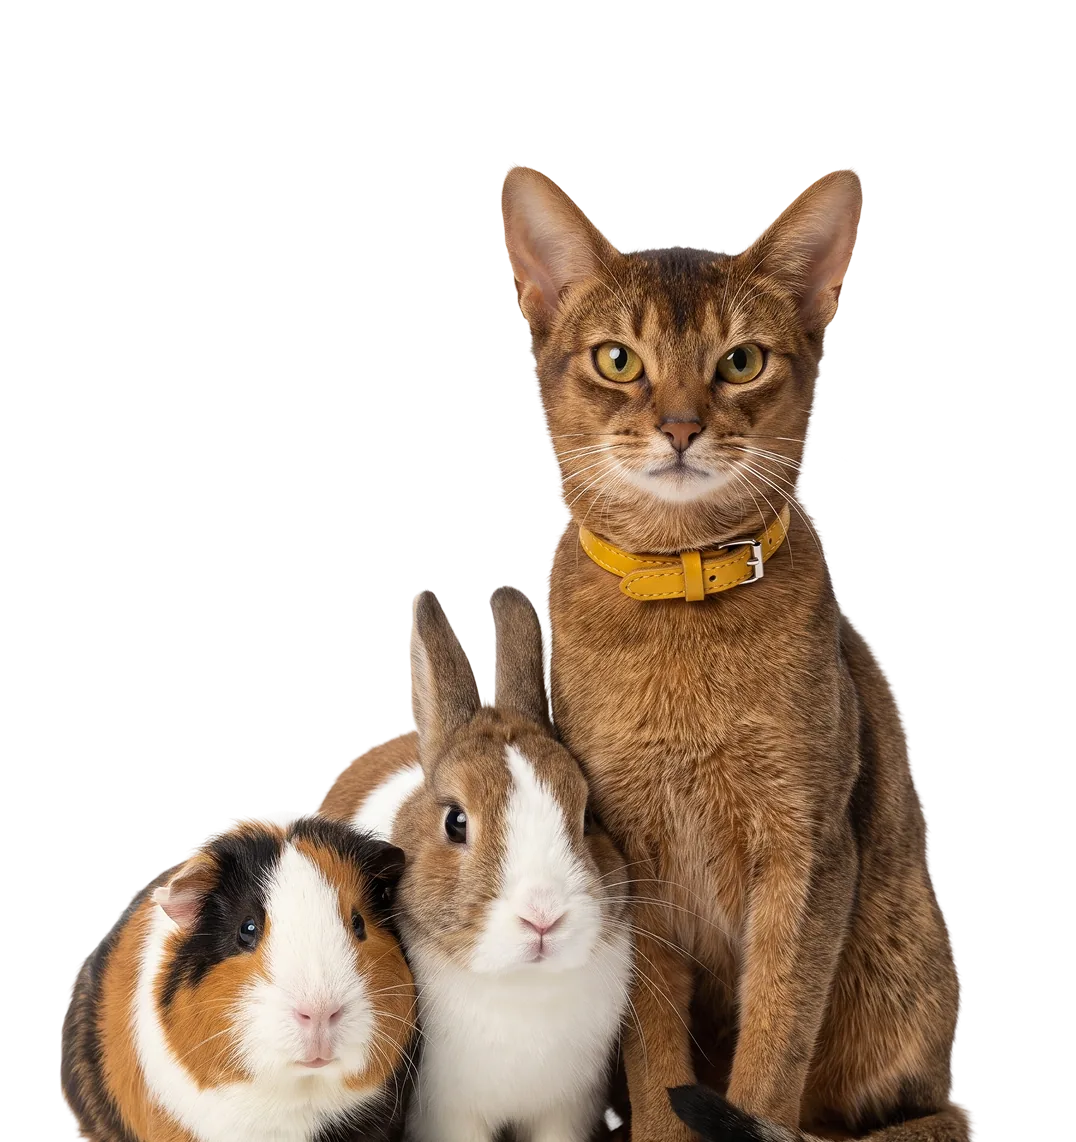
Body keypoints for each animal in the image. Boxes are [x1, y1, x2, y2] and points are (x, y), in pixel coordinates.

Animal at [318, 586, 635, 1142]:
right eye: (456, 822)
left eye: (588, 816)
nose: (543, 917)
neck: (520, 987)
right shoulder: (446, 1115)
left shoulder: (568, 1109)